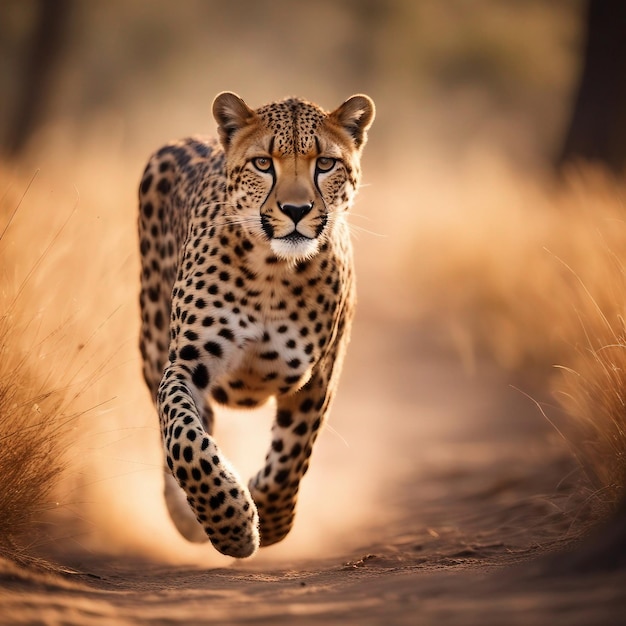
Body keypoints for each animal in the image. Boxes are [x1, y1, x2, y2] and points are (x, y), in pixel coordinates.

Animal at [138, 90, 370, 552]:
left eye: (325, 163)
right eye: (264, 163)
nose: (296, 209)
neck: (274, 272)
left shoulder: (320, 374)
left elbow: (294, 451)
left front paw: (271, 514)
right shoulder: (184, 364)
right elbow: (182, 437)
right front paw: (231, 524)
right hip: (150, 340)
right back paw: (185, 515)